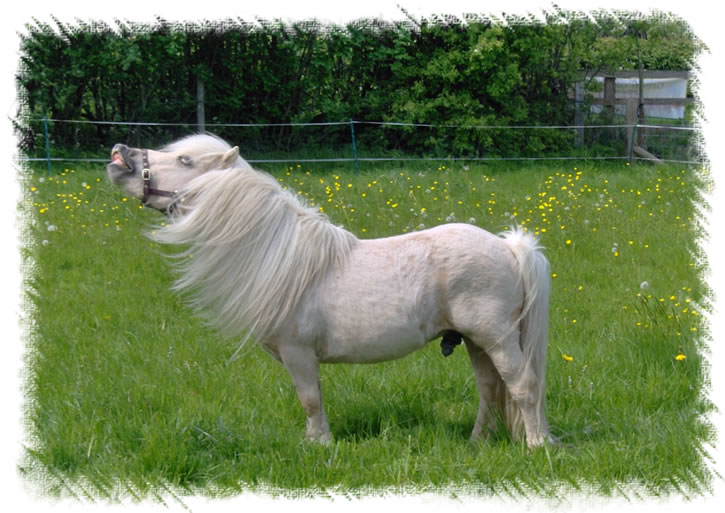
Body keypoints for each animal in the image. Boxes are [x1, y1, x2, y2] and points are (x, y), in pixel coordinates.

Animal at [106, 134, 555, 448]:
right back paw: (476, 442)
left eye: (184, 160)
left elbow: (310, 399)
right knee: (490, 391)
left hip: (495, 339)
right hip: (476, 343)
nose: (119, 154)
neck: (281, 256)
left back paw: (536, 445)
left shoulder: (298, 353)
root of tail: (509, 247)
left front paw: (320, 445)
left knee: (523, 386)